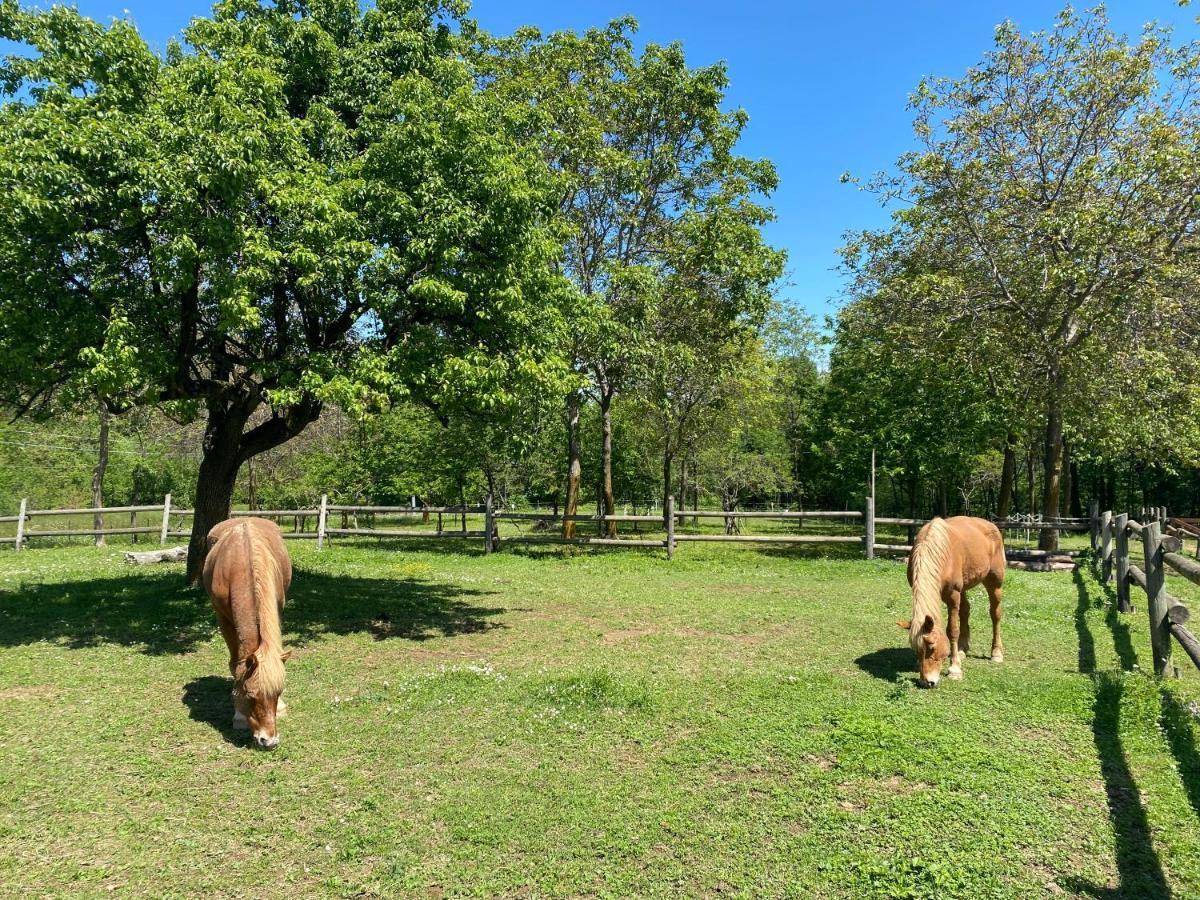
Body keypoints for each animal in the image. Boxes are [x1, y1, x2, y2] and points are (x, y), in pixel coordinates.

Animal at [202, 518, 294, 748]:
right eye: (251, 697)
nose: (269, 741)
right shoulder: (223, 618)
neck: (243, 565)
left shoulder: (277, 607)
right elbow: (236, 664)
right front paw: (239, 716)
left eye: (278, 693)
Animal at [897, 513, 1008, 691]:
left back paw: (996, 653)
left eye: (932, 646)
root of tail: (991, 525)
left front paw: (955, 669)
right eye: (916, 649)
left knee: (995, 614)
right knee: (966, 611)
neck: (939, 552)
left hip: (994, 582)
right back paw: (962, 649)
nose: (927, 682)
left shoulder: (953, 596)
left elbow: (952, 630)